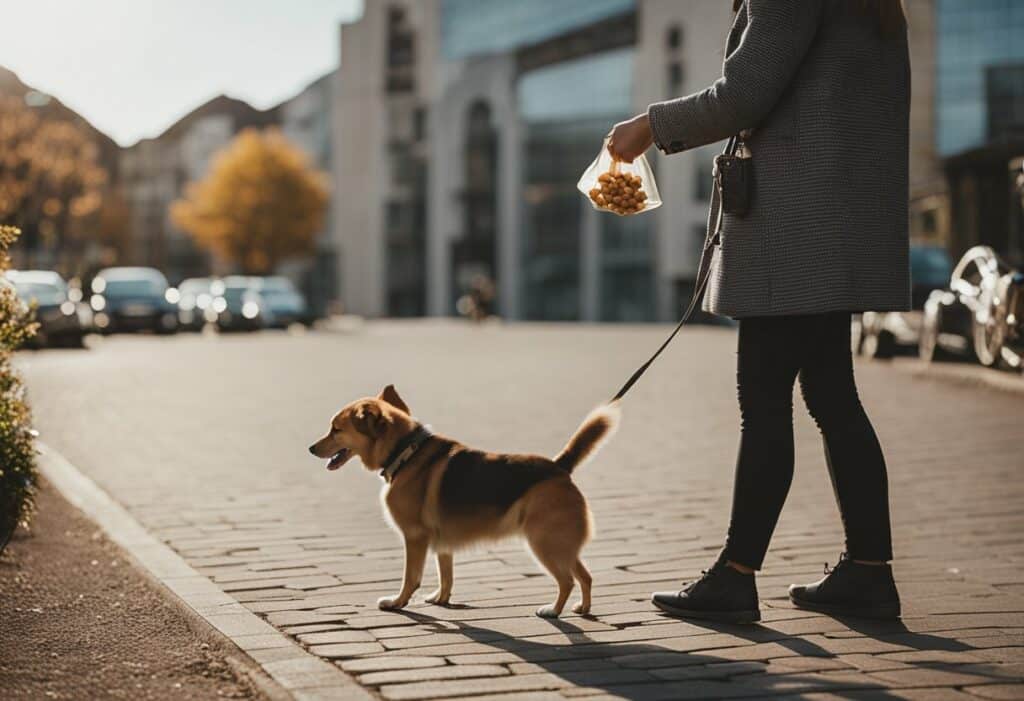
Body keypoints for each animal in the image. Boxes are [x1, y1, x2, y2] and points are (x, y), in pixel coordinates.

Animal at [307, 382, 618, 618]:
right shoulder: (442, 542)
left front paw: (398, 603)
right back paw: (583, 608)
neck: (406, 451)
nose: (310, 448)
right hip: (560, 543)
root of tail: (560, 467)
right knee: (585, 575)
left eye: (336, 429)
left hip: (544, 543)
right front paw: (440, 599)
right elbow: (446, 574)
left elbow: (411, 577)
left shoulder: (414, 537)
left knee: (567, 580)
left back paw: (553, 610)